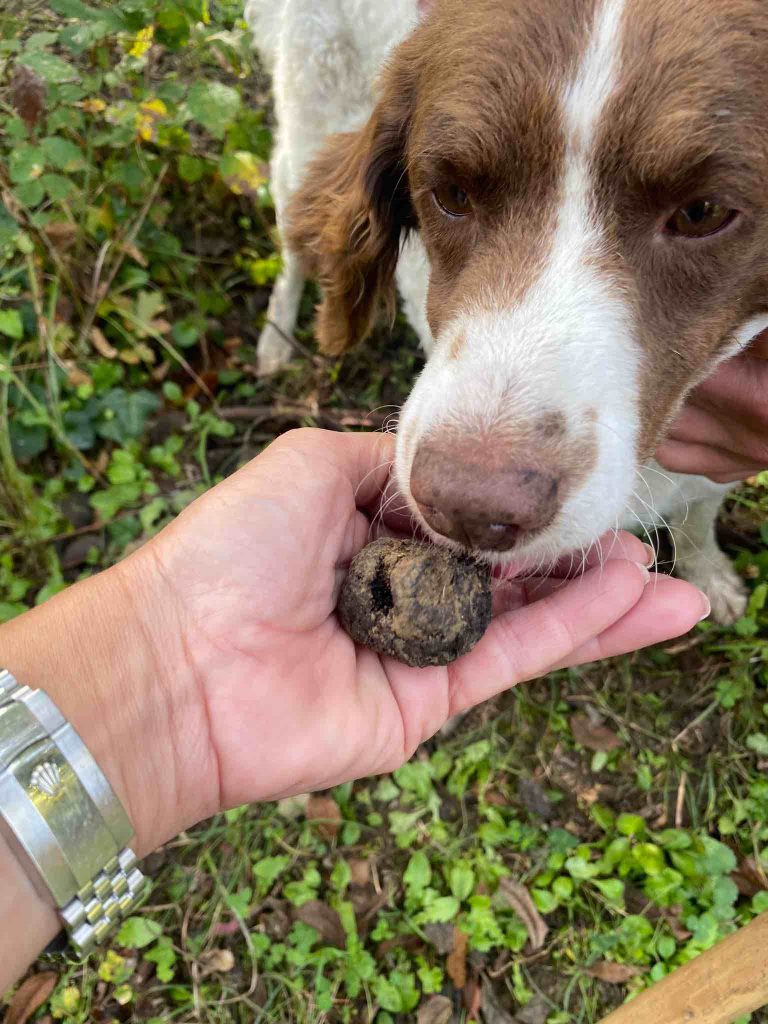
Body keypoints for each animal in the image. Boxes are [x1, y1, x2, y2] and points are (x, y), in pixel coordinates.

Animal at [247, 0, 768, 622]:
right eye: (451, 194)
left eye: (702, 212)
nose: (469, 509)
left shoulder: (711, 472)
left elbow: (700, 516)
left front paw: (710, 574)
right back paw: (276, 340)